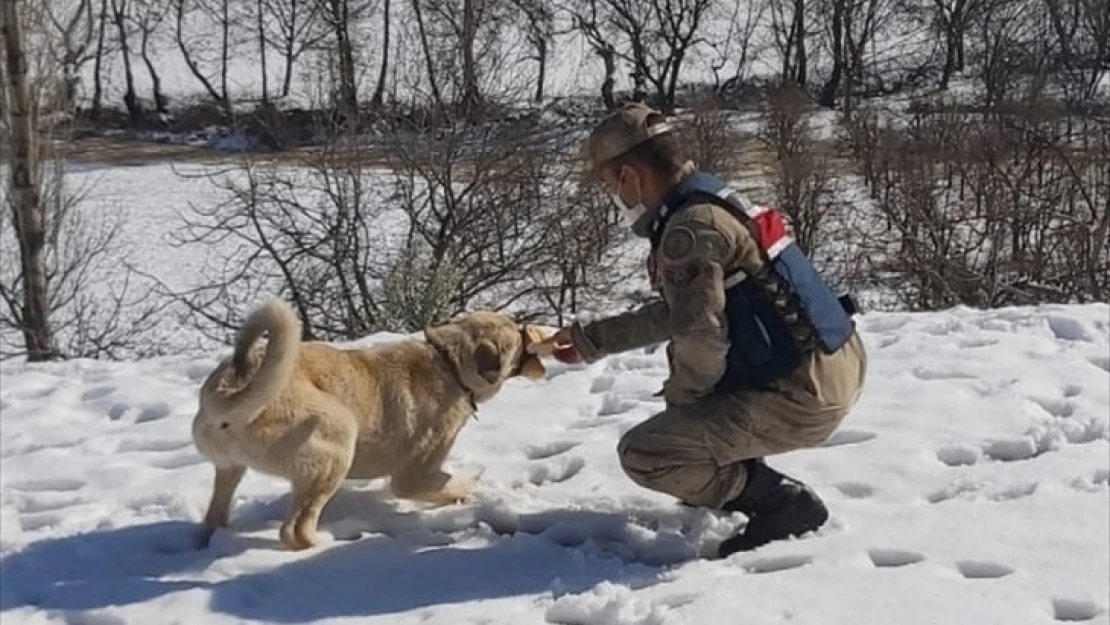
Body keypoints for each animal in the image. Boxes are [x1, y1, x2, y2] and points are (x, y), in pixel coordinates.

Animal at [196, 299, 555, 550]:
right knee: (293, 530)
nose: (531, 324)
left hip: (230, 470)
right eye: (516, 333)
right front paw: (471, 489)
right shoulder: (413, 475)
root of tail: (226, 391)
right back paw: (322, 544)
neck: (448, 363)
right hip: (338, 439)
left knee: (214, 516)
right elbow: (451, 484)